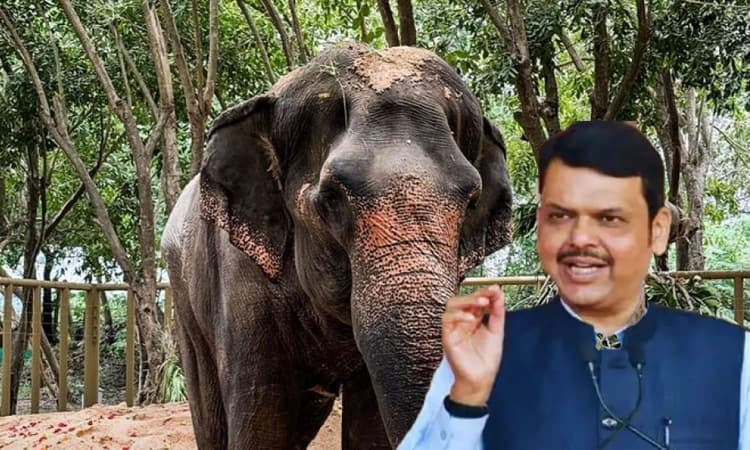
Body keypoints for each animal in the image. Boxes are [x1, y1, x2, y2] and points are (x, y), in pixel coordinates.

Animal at [161, 42, 513, 449]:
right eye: (331, 198)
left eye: (471, 203)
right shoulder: (240, 284)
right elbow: (261, 421)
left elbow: (370, 426)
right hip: (184, 296)